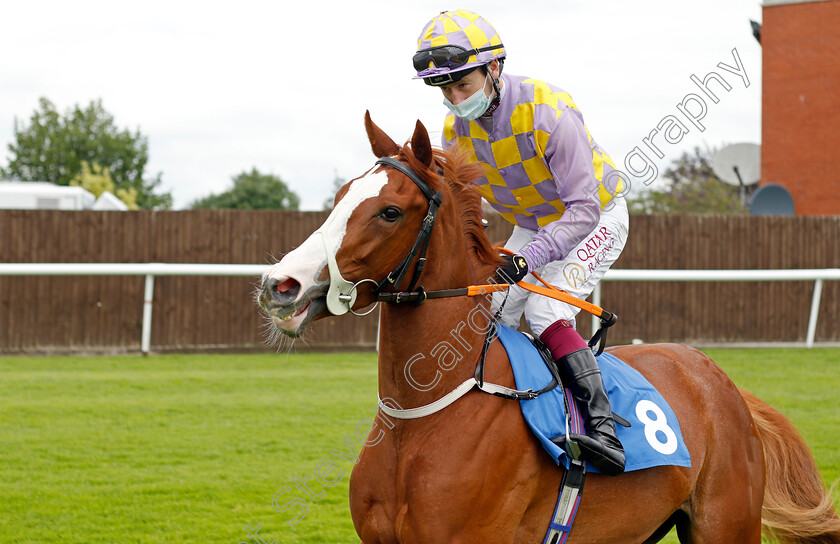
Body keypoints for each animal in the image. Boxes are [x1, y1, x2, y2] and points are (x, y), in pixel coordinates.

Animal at [258, 112, 840, 540]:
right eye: (339, 199)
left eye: (389, 213)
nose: (280, 284)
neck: (423, 416)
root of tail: (723, 382)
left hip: (725, 525)